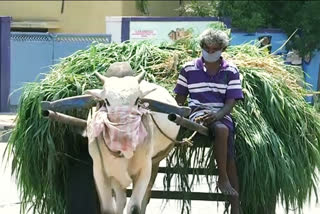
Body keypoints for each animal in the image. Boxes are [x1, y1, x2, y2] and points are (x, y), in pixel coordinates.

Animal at [85, 71, 180, 213]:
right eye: (106, 101)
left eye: (137, 100)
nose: (123, 137)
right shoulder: (100, 171)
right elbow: (109, 209)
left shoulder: (144, 169)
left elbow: (134, 207)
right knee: (121, 200)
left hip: (156, 161)